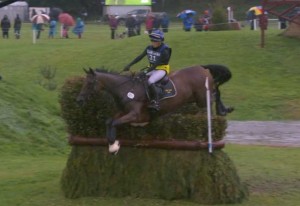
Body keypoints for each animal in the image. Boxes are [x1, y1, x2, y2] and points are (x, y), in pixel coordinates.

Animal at [76, 65, 233, 154]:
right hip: (196, 98)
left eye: (89, 83)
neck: (126, 89)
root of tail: (203, 68)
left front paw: (114, 145)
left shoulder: (136, 115)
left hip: (202, 98)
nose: (79, 100)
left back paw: (223, 109)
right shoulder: (123, 112)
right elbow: (109, 121)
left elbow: (114, 123)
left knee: (215, 94)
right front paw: (111, 144)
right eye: (83, 83)